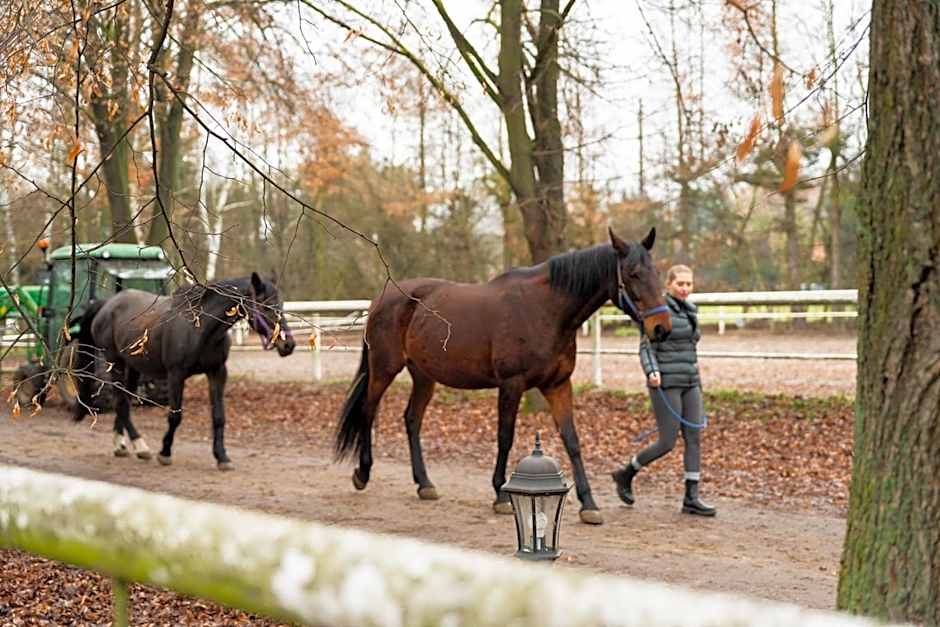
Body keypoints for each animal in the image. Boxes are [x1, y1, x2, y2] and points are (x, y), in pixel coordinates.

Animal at [71, 272, 295, 470]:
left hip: (133, 366)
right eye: (265, 306)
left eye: (281, 305)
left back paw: (121, 445)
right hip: (114, 361)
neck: (200, 326)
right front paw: (165, 453)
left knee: (124, 400)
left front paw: (222, 457)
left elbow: (219, 417)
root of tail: (107, 304)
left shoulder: (217, 373)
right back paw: (140, 445)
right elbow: (175, 416)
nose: (288, 345)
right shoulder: (175, 375)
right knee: (120, 401)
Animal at [335, 227, 671, 525]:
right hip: (384, 369)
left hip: (424, 376)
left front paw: (589, 504)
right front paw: (501, 495)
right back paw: (362, 473)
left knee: (412, 419)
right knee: (368, 411)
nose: (661, 329)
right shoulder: (512, 384)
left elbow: (572, 440)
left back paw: (425, 484)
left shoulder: (558, 385)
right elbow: (505, 437)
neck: (546, 310)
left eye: (657, 272)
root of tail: (382, 297)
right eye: (632, 273)